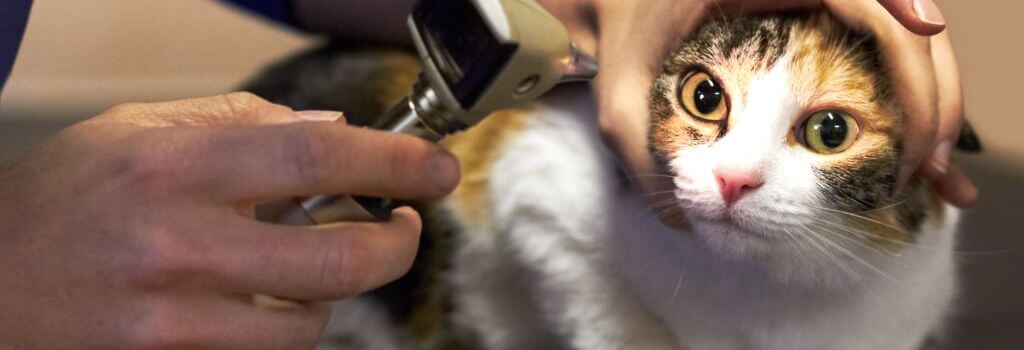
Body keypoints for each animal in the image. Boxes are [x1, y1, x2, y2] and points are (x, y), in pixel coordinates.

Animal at [245, 10, 974, 350]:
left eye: (830, 131)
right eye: (704, 96)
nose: (733, 179)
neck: (768, 297)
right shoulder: (531, 186)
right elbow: (604, 306)